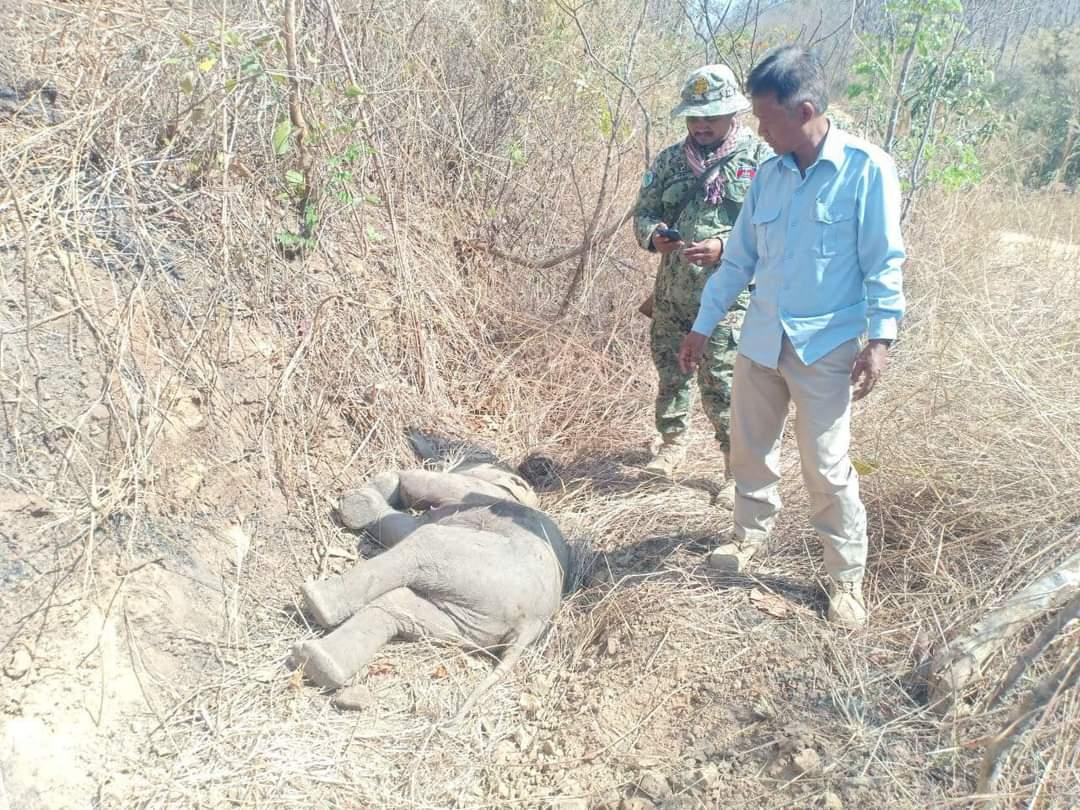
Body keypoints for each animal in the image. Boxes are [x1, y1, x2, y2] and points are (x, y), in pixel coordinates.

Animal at [291, 462, 570, 717]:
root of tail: (532, 624)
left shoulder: (470, 494)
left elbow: (414, 507)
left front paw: (364, 495)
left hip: (478, 570)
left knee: (421, 542)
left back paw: (317, 602)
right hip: (477, 624)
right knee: (401, 605)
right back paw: (318, 662)